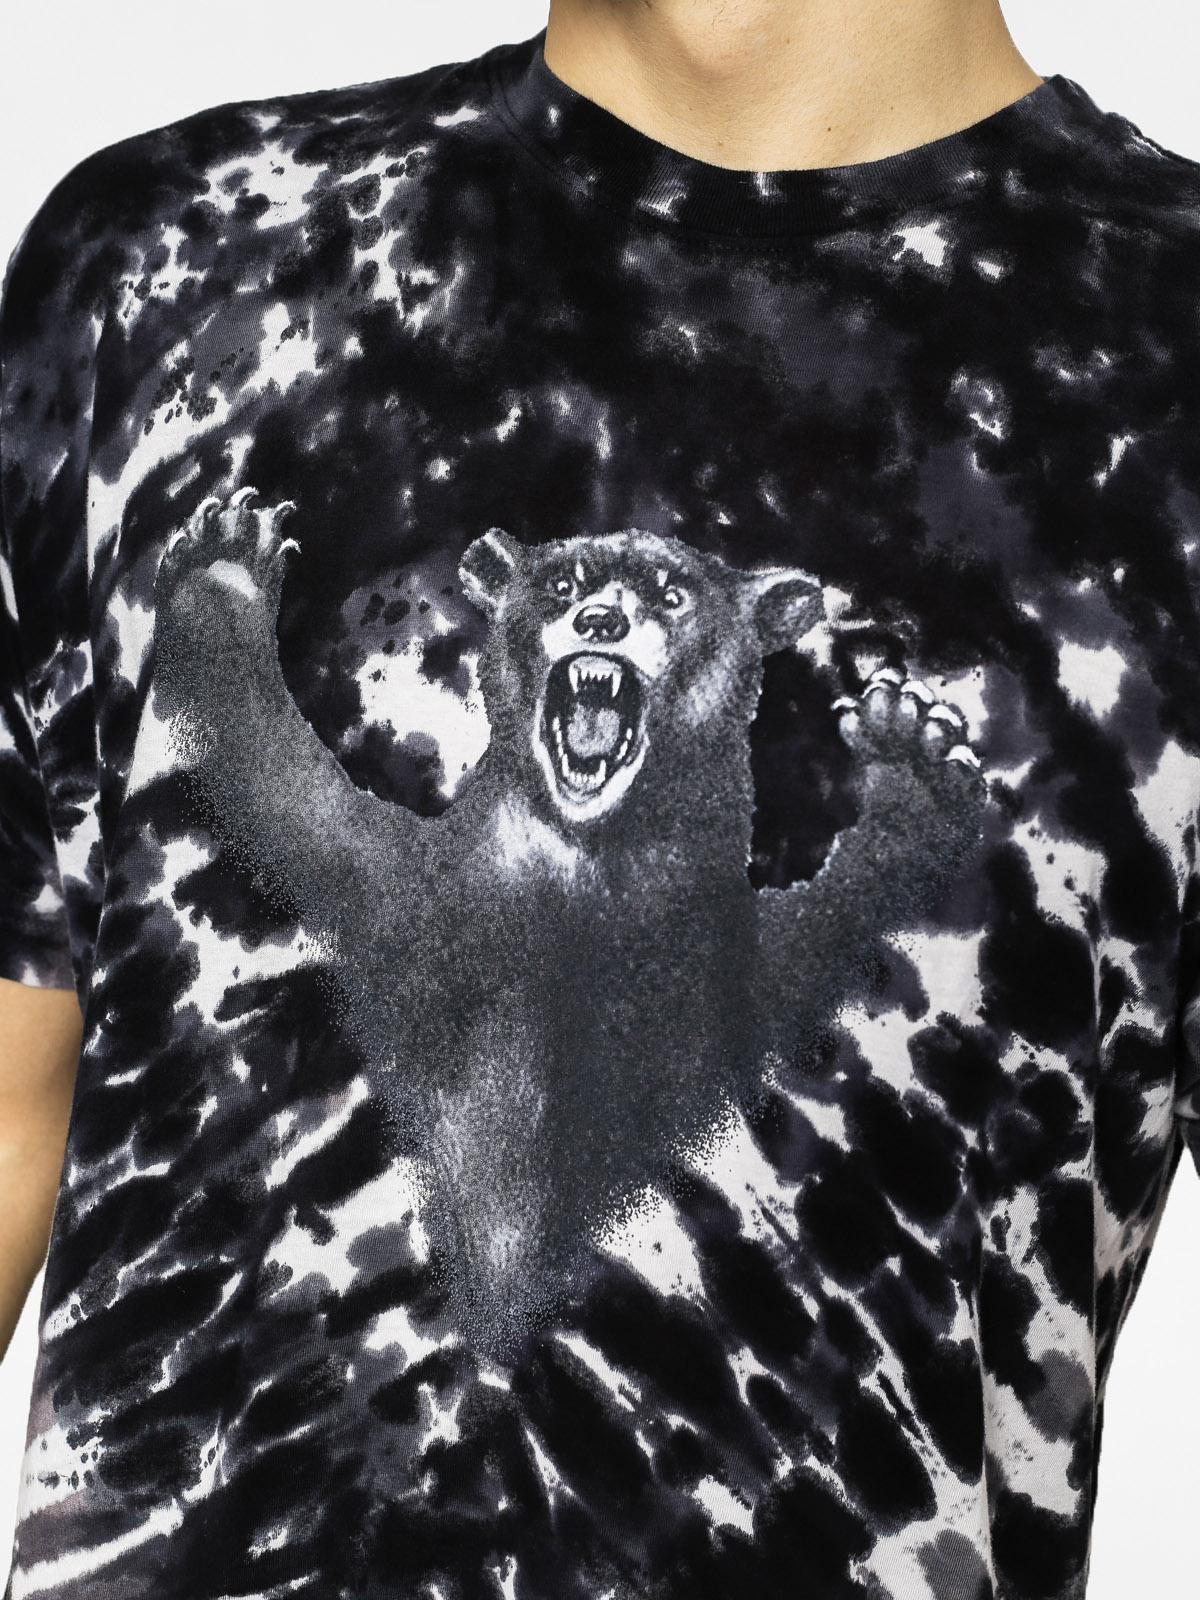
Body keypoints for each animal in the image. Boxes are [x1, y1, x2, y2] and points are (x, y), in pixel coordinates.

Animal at [150, 488, 985, 1353]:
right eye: (559, 585)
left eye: (672, 594)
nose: (601, 619)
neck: (584, 892)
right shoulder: (396, 898)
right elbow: (281, 781)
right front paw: (224, 565)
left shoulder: (730, 982)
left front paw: (916, 760)